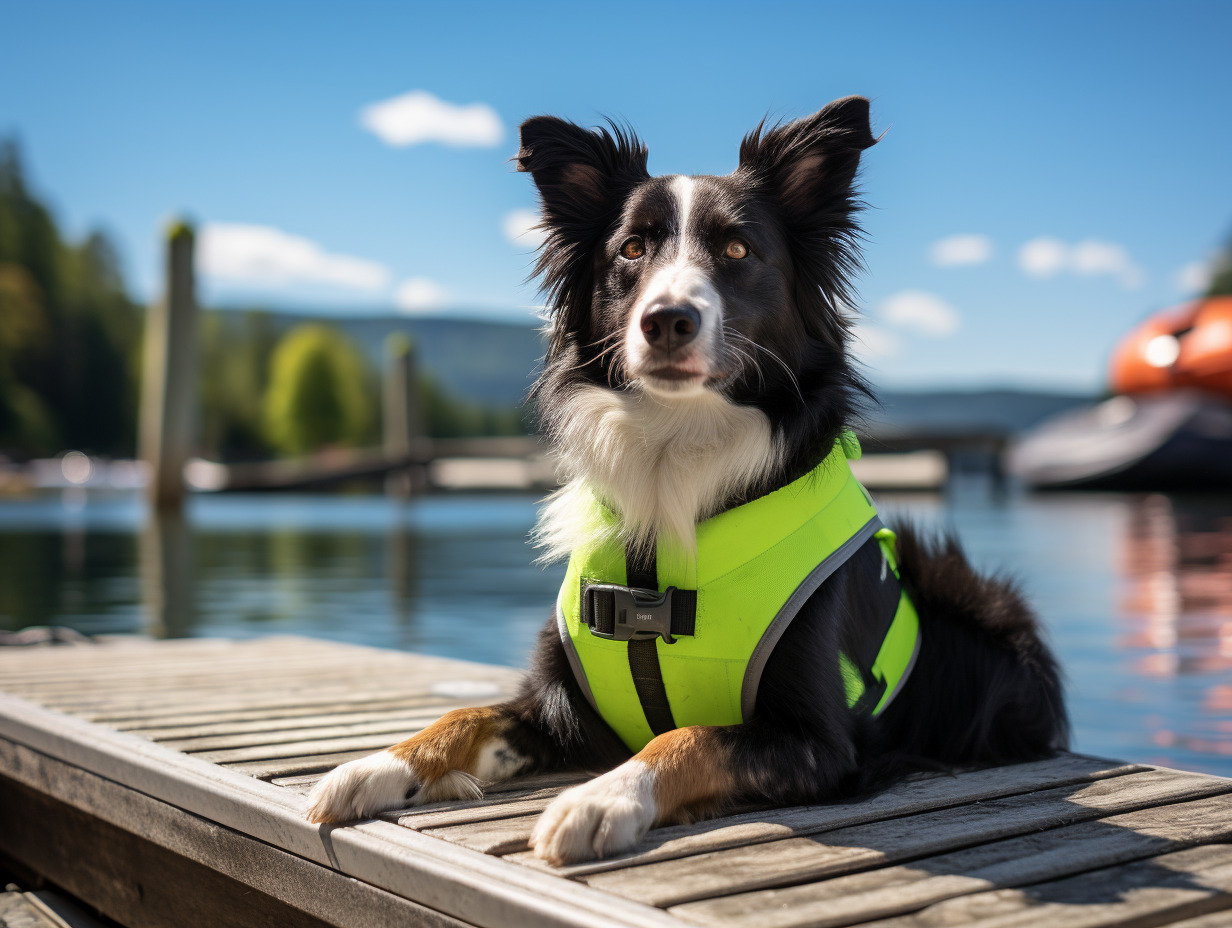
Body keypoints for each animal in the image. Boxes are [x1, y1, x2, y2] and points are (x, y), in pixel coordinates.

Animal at [308, 97, 1069, 867]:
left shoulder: (818, 742)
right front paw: (378, 764)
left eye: (737, 251)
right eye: (631, 251)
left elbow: (688, 736)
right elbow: (467, 712)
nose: (667, 319)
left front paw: (600, 798)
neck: (673, 456)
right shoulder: (559, 708)